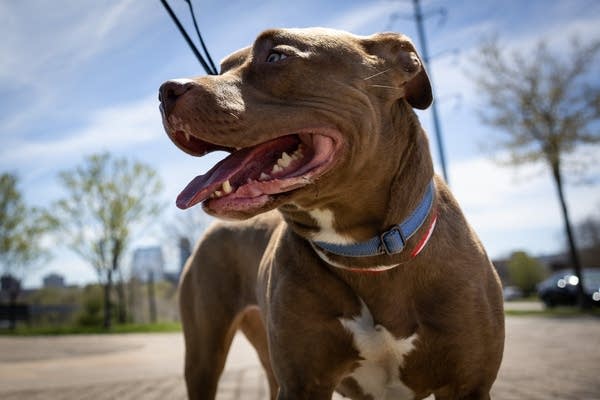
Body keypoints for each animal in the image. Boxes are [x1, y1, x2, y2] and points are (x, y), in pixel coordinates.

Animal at [161, 28, 506, 400]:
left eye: (276, 56)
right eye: (222, 68)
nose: (166, 91)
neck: (371, 253)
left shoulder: (468, 385)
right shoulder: (302, 383)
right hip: (204, 356)